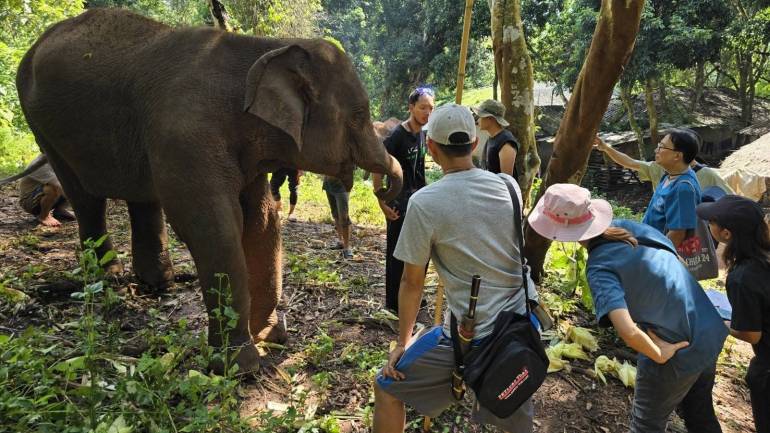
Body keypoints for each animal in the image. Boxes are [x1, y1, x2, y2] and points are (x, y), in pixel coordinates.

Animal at [16, 7, 402, 372]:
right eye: (359, 115)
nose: (389, 197)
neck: (264, 47)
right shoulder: (186, 138)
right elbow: (213, 227)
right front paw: (240, 366)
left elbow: (263, 222)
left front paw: (271, 336)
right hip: (43, 127)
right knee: (84, 197)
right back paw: (108, 277)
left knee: (141, 198)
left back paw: (159, 284)